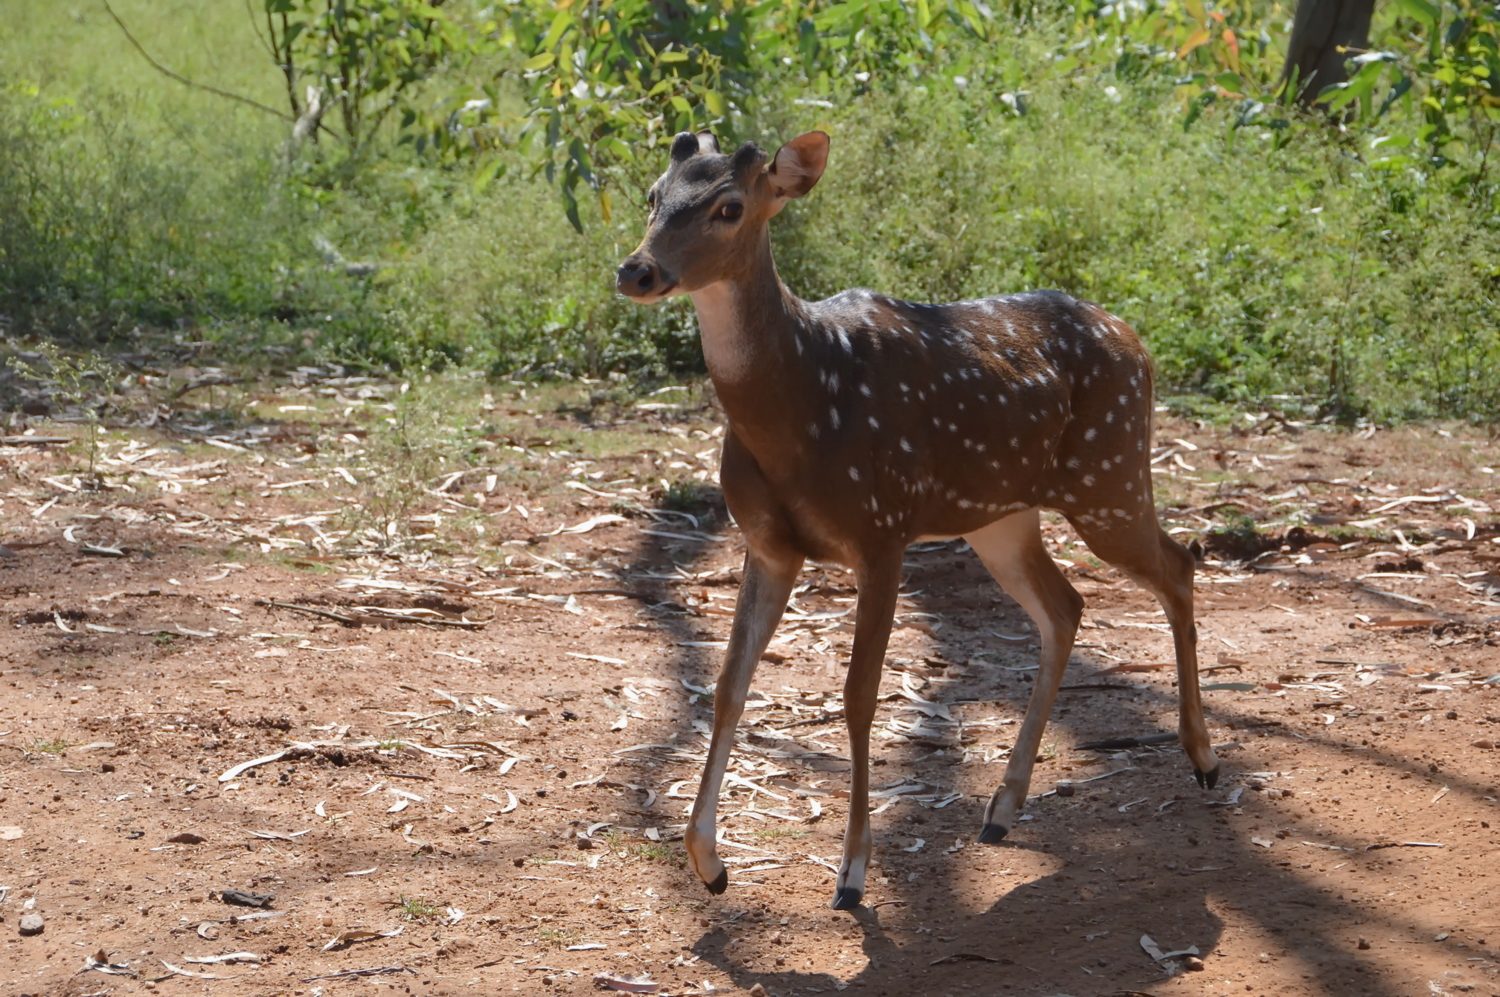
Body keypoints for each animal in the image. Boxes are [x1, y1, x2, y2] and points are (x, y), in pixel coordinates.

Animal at [618, 130, 1218, 911]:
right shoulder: (769, 543)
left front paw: (851, 873)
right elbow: (727, 685)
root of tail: (1138, 341)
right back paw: (1002, 807)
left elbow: (859, 696)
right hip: (1002, 516)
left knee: (1178, 564)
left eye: (729, 206)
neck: (800, 405)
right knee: (1067, 604)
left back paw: (1203, 759)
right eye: (655, 193)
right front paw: (708, 861)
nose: (636, 269)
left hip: (1108, 475)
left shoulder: (882, 528)